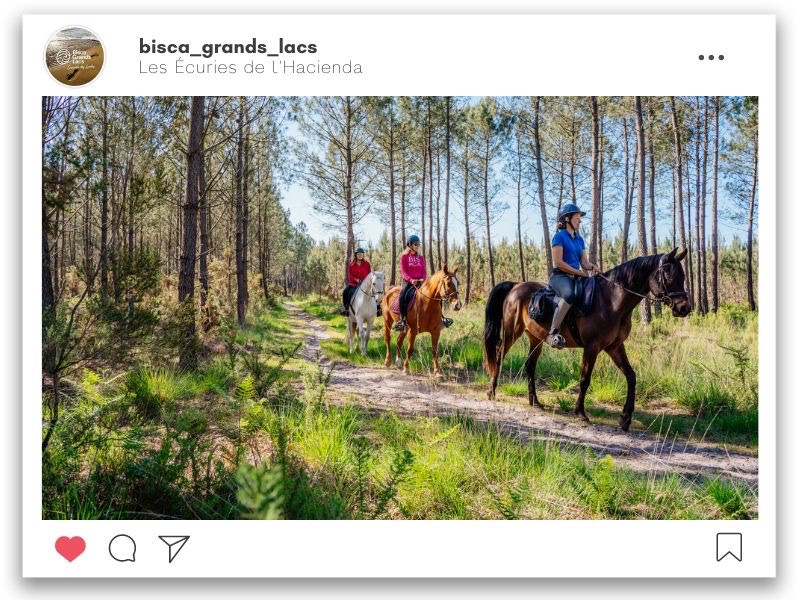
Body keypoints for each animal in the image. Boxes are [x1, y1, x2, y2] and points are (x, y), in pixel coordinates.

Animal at [484, 250, 692, 432]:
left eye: (682, 276)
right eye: (668, 276)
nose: (684, 308)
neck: (612, 301)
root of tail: (516, 285)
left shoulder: (615, 347)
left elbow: (631, 376)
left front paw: (625, 419)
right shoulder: (592, 347)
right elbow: (585, 378)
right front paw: (580, 413)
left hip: (536, 338)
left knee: (530, 365)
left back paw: (534, 401)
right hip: (512, 331)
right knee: (499, 355)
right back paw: (492, 391)